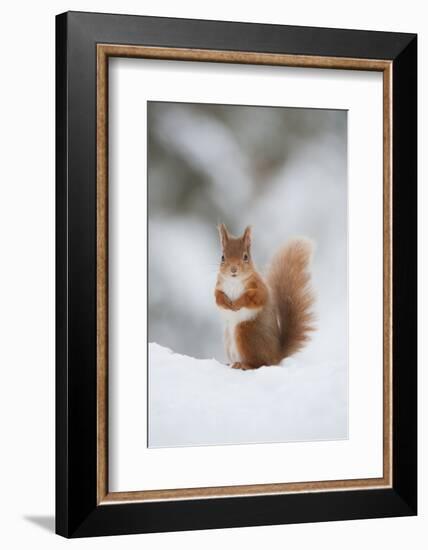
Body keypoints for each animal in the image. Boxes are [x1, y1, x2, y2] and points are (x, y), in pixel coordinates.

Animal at [214, 224, 314, 370]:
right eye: (222, 257)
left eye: (245, 257)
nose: (233, 270)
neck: (234, 281)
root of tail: (276, 356)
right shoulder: (218, 286)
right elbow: (218, 298)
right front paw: (227, 303)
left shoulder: (259, 289)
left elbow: (254, 298)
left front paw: (237, 303)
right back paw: (231, 363)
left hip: (245, 333)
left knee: (259, 363)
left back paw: (244, 365)